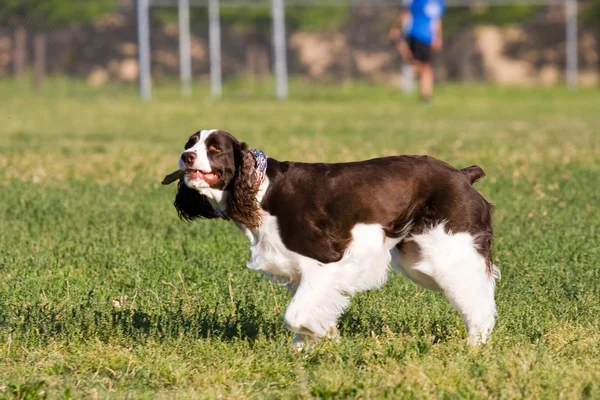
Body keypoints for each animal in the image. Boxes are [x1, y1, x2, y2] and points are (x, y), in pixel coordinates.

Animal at [162, 130, 500, 346]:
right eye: (190, 143)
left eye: (215, 148)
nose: (186, 156)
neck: (261, 190)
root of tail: (462, 174)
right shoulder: (298, 270)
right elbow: (305, 312)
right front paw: (306, 349)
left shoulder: (325, 261)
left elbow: (295, 315)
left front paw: (327, 336)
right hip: (417, 258)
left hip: (448, 249)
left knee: (478, 295)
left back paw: (476, 343)